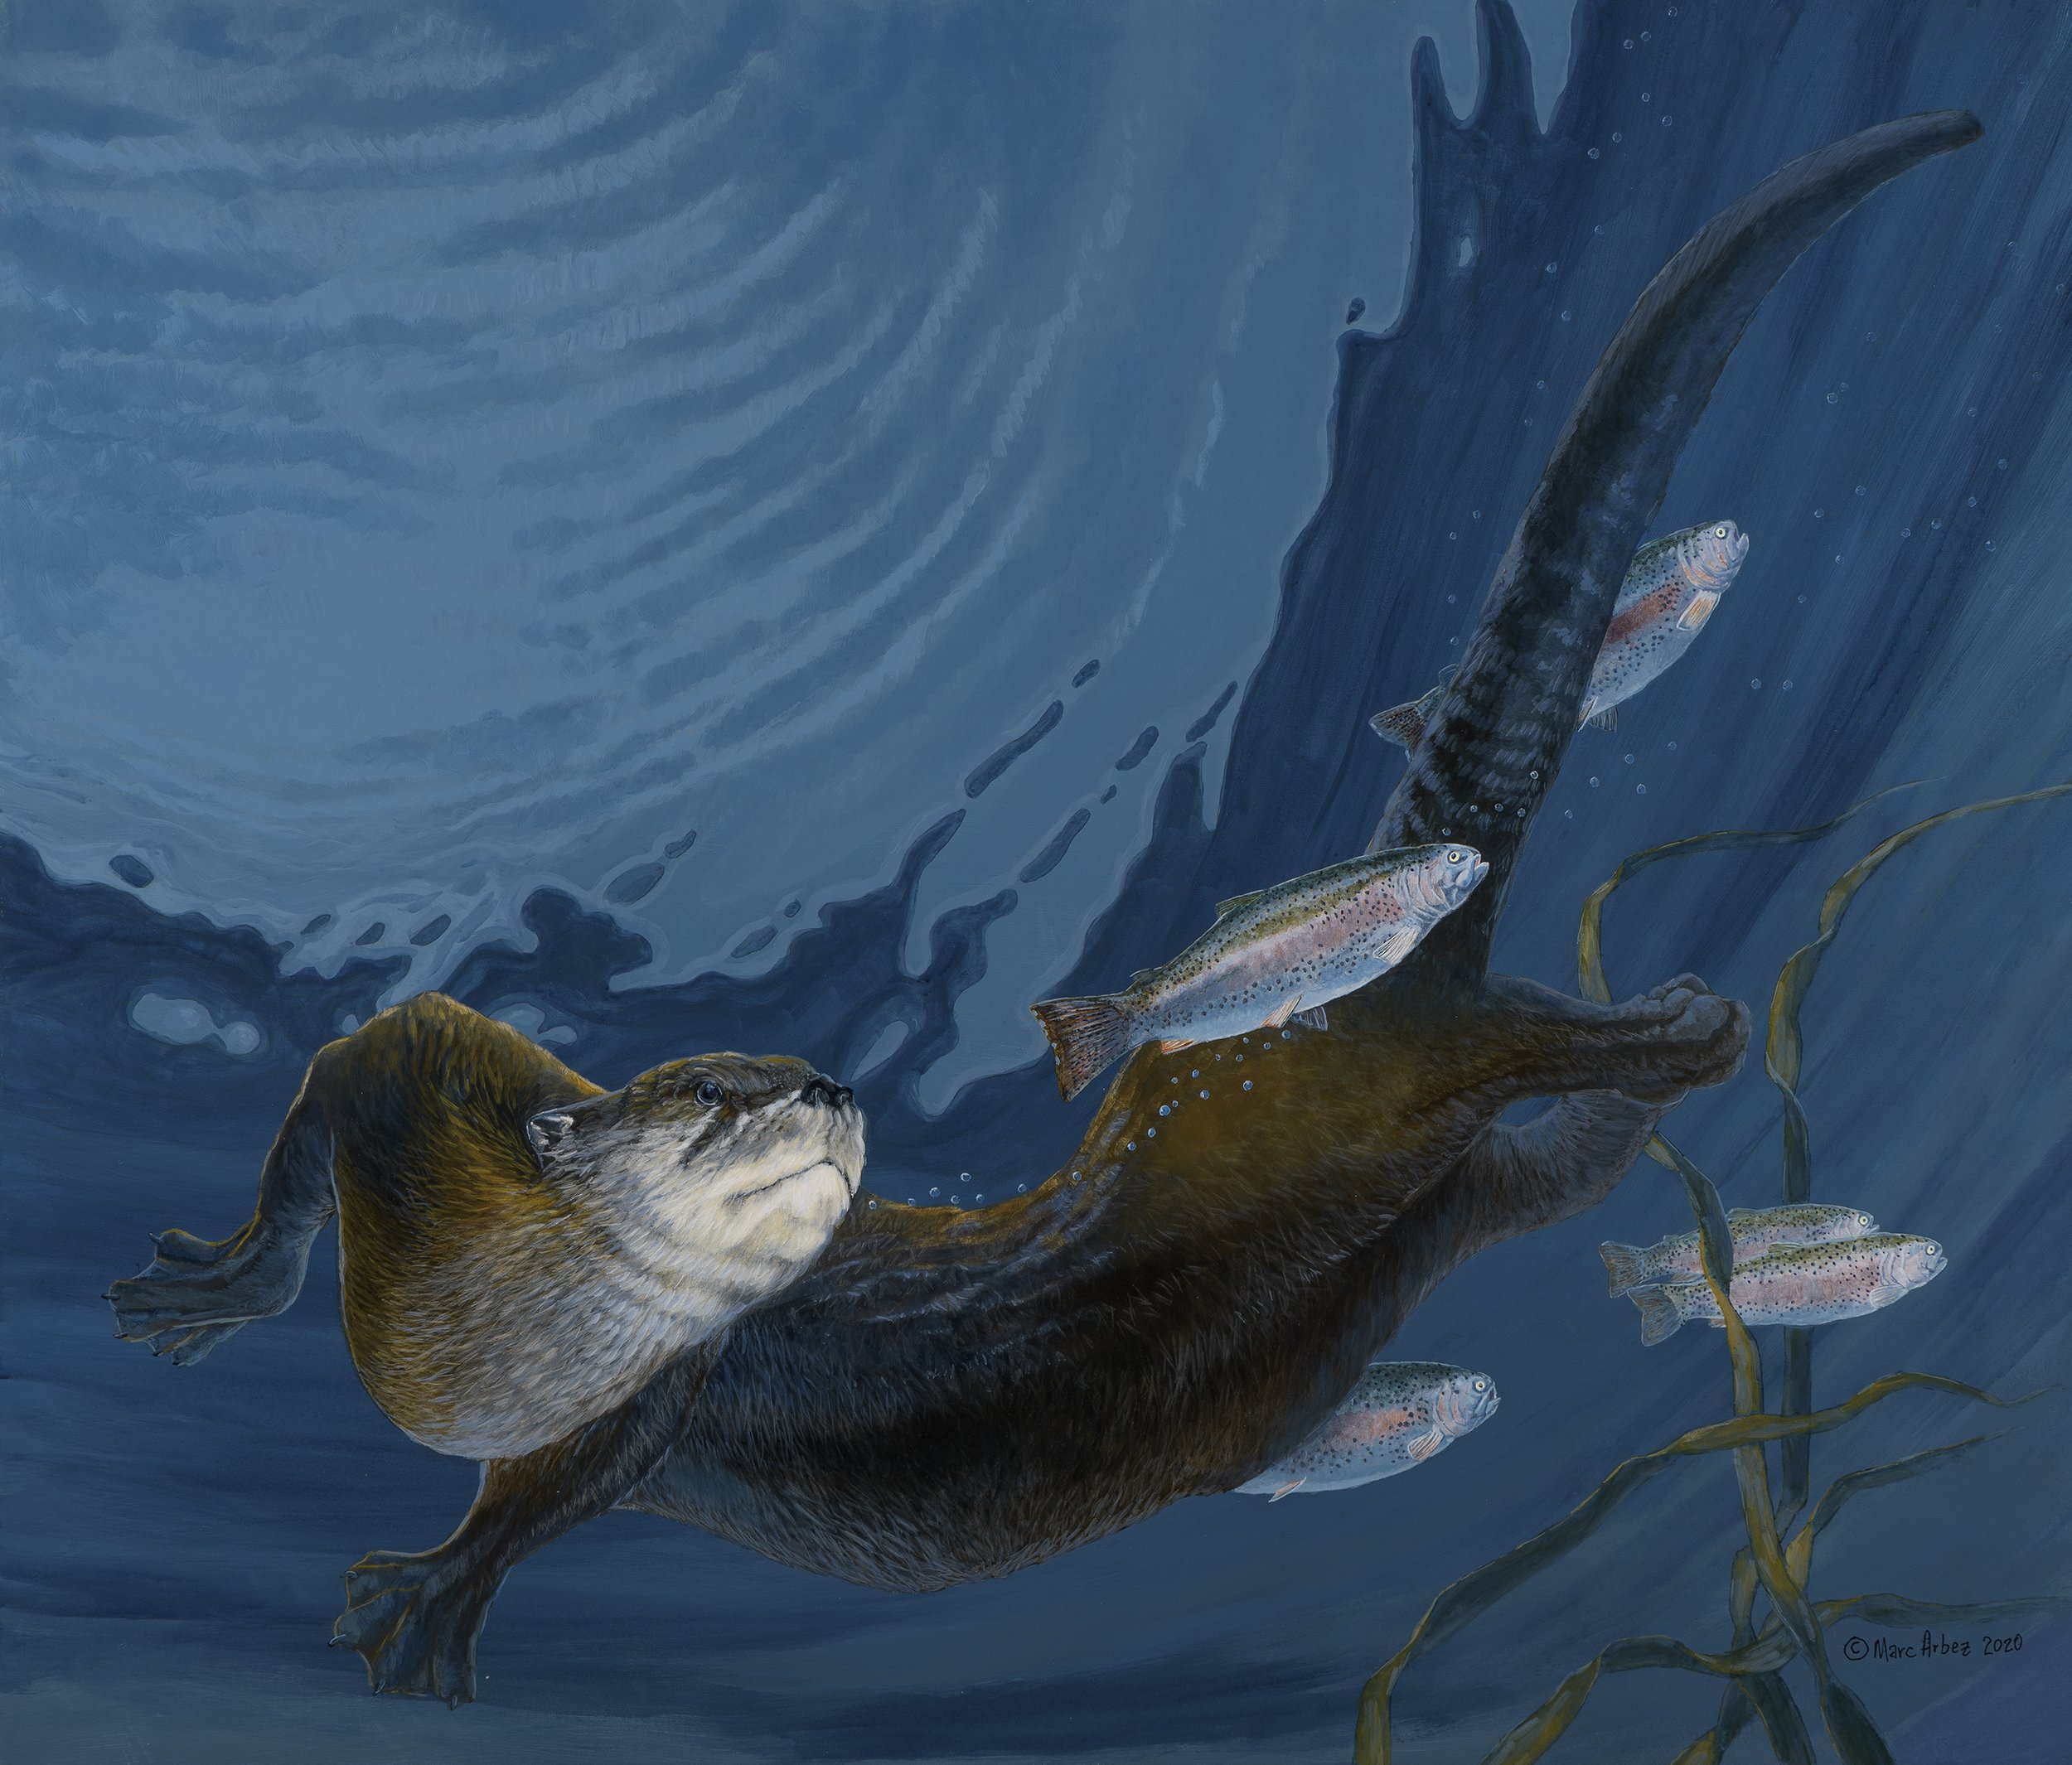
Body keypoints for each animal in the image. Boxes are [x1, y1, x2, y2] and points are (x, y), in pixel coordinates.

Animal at [105, 110, 1979, 1708]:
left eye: (765, 1076)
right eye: (702, 1090)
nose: (821, 1087)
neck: (484, 1312)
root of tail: (1395, 916)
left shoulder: (630, 1341)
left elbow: (564, 1472)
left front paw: (428, 1598)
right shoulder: (423, 1085)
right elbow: (330, 1090)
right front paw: (213, 1292)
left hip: (1387, 1075)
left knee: (1510, 1042)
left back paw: (1678, 1015)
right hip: (1436, 1191)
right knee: (1540, 1161)